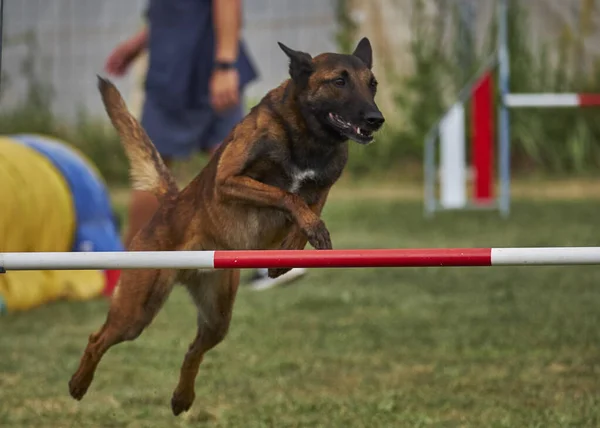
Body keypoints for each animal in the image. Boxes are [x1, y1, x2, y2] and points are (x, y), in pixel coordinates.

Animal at [67, 37, 384, 414]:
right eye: (339, 81)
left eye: (372, 84)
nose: (376, 119)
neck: (308, 135)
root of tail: (171, 201)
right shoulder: (229, 180)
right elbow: (285, 196)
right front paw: (308, 232)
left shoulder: (321, 190)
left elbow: (301, 217)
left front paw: (288, 255)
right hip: (135, 311)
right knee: (97, 338)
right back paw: (78, 383)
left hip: (217, 316)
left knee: (193, 349)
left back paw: (182, 397)